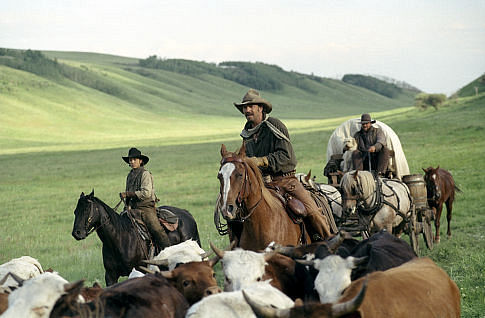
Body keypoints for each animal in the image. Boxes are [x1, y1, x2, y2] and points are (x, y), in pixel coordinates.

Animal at [72, 190, 200, 286]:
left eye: (86, 209)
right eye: (75, 211)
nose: (76, 233)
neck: (120, 239)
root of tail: (187, 214)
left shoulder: (138, 271)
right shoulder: (110, 275)